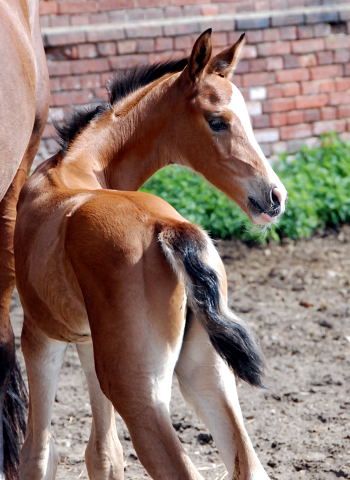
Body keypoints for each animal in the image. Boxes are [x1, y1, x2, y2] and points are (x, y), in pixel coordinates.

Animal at [15, 31, 286, 478]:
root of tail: (169, 229)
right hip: (206, 374)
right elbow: (103, 454)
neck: (75, 168)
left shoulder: (41, 335)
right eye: (218, 120)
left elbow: (38, 453)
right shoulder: (86, 340)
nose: (275, 197)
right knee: (250, 465)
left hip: (138, 392)